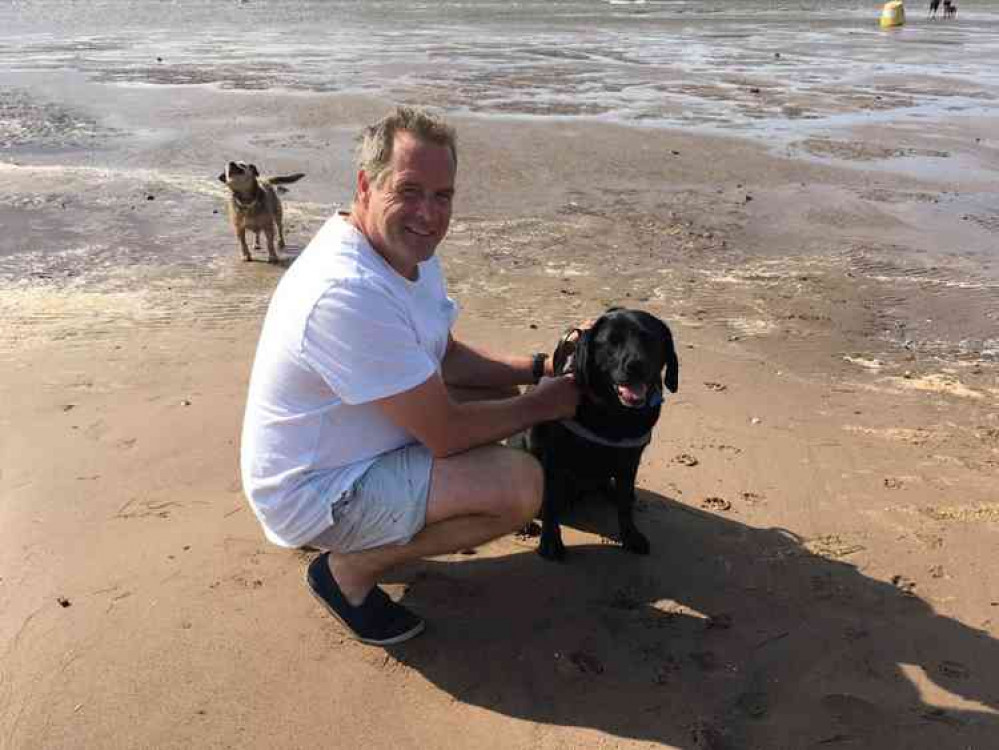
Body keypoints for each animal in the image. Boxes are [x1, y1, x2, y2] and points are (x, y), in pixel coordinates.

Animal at [524, 308, 680, 560]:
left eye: (649, 339)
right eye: (612, 341)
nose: (636, 365)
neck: (613, 413)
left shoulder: (630, 461)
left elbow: (625, 505)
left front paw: (630, 536)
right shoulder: (553, 458)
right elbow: (550, 503)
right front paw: (550, 541)